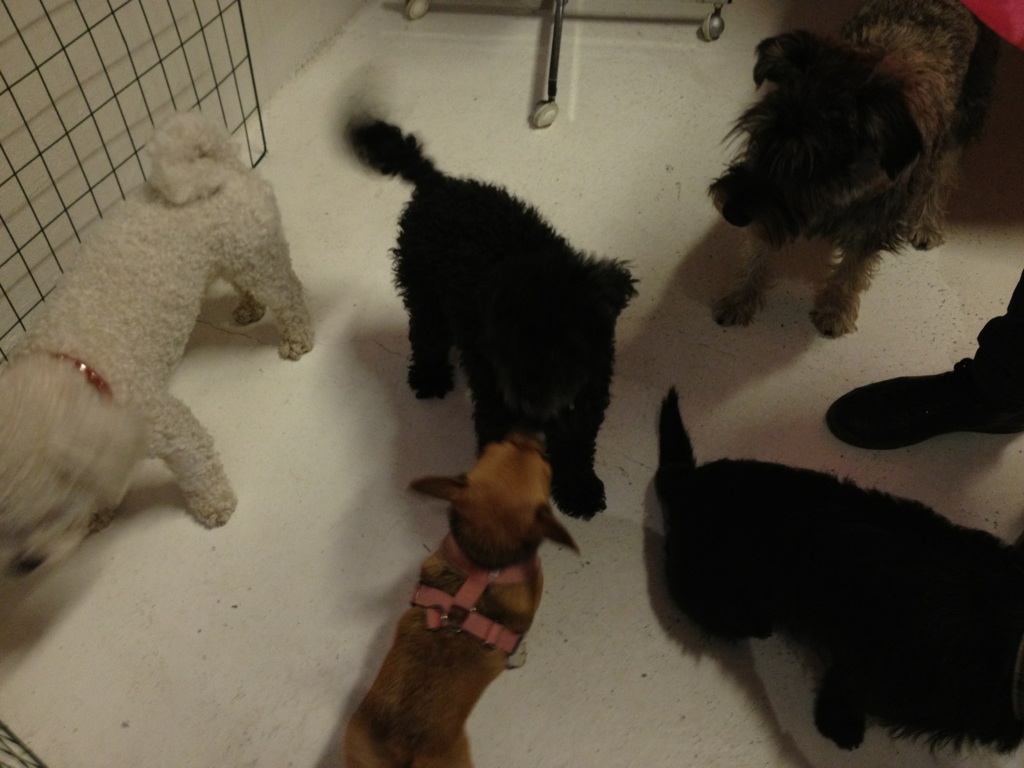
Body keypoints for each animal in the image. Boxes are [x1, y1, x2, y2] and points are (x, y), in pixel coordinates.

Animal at [0, 111, 313, 577]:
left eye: (51, 510)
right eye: (3, 528)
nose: (26, 564)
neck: (71, 363)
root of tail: (216, 160)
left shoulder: (162, 420)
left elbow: (197, 460)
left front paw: (216, 506)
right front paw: (98, 514)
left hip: (257, 257)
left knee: (289, 293)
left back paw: (296, 337)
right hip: (231, 256)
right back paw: (247, 309)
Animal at [347, 118, 637, 520]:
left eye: (567, 344)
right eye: (507, 347)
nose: (530, 400)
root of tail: (438, 184)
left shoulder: (586, 400)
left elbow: (577, 446)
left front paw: (579, 491)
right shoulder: (497, 408)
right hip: (424, 294)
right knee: (426, 336)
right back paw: (429, 377)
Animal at [709, 0, 999, 337]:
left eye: (811, 165)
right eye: (761, 137)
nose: (730, 212)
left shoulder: (873, 223)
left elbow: (853, 267)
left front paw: (836, 309)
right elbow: (757, 247)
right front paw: (740, 295)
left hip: (968, 107)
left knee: (945, 170)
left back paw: (926, 222)